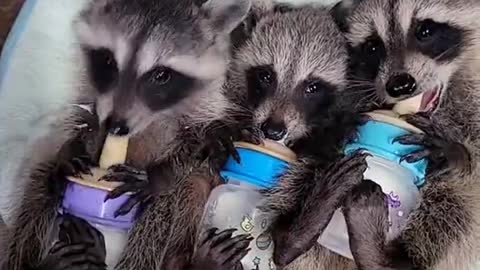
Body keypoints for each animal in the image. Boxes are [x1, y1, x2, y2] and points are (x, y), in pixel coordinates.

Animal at [0, 0, 253, 270]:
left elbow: (199, 146)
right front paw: (73, 146)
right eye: (108, 61)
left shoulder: (206, 106)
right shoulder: (90, 93)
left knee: (158, 214)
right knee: (41, 182)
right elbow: (77, 117)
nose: (114, 126)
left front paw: (158, 173)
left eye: (161, 75)